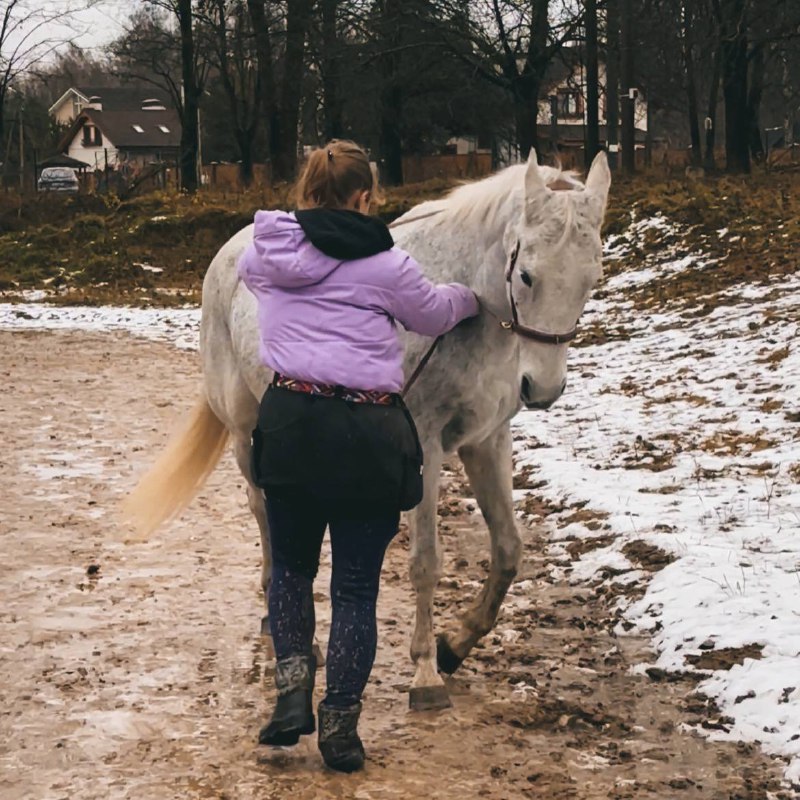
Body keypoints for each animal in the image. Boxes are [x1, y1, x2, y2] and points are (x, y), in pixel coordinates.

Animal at [125, 150, 608, 712]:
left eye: (592, 279)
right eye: (527, 275)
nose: (543, 388)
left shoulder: (488, 441)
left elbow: (509, 550)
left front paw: (456, 643)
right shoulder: (425, 445)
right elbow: (426, 562)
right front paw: (426, 671)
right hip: (247, 434)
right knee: (264, 513)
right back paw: (280, 621)